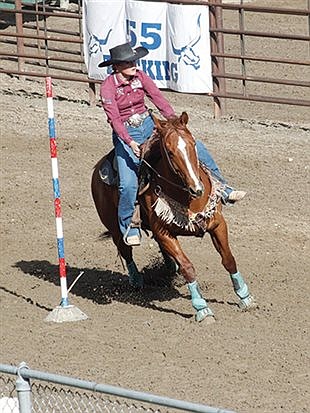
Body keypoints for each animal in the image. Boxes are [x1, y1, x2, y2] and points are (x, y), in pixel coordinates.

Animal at [92, 112, 256, 322]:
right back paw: (137, 280)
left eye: (193, 144)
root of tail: (98, 169)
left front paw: (245, 296)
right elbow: (187, 267)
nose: (197, 189)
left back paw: (169, 269)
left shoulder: (218, 224)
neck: (187, 197)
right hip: (114, 227)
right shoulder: (164, 232)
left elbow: (228, 259)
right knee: (126, 250)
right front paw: (202, 309)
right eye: (169, 152)